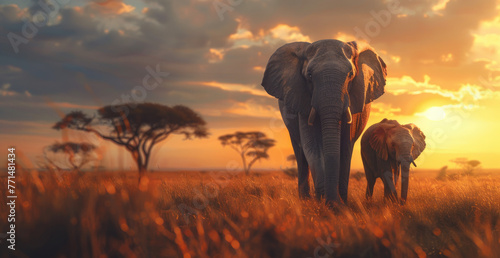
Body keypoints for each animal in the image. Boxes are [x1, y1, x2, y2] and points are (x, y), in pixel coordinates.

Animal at [262, 39, 386, 206]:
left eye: (351, 75)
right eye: (309, 75)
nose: (333, 201)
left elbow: (345, 146)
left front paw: (340, 203)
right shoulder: (303, 99)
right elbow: (312, 145)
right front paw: (324, 201)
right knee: (300, 153)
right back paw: (305, 200)